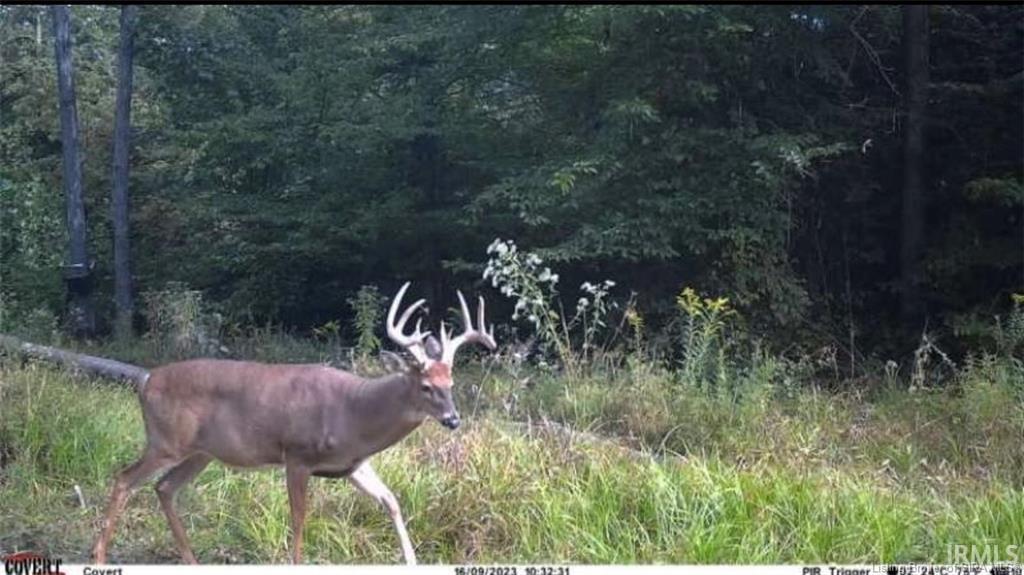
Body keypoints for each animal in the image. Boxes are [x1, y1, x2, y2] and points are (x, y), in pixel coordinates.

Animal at [90, 282, 496, 565]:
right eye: (426, 386)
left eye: (451, 383)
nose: (453, 419)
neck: (354, 414)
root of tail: (146, 380)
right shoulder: (297, 455)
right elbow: (300, 517)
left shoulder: (353, 466)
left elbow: (391, 501)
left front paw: (412, 561)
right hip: (166, 440)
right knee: (124, 479)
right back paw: (100, 555)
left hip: (201, 452)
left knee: (164, 488)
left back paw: (191, 560)